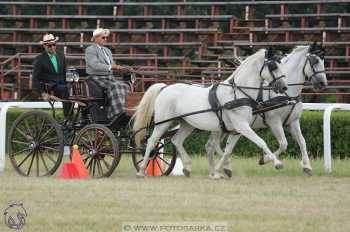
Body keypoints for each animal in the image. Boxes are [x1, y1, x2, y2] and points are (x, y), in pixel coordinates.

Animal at [133, 48, 288, 178]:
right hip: (163, 123)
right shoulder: (242, 126)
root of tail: (165, 87)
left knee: (176, 140)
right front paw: (277, 163)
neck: (237, 93)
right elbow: (261, 142)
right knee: (152, 141)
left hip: (187, 124)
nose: (284, 87)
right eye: (273, 66)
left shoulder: (236, 130)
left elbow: (227, 151)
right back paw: (141, 170)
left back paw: (187, 168)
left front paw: (218, 172)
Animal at [206, 43, 326, 178]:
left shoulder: (293, 122)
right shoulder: (274, 122)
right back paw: (224, 167)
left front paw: (307, 167)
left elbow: (302, 141)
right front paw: (265, 159)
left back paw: (221, 169)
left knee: (211, 146)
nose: (323, 83)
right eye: (315, 61)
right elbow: (283, 144)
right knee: (214, 146)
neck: (287, 94)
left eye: (323, 61)